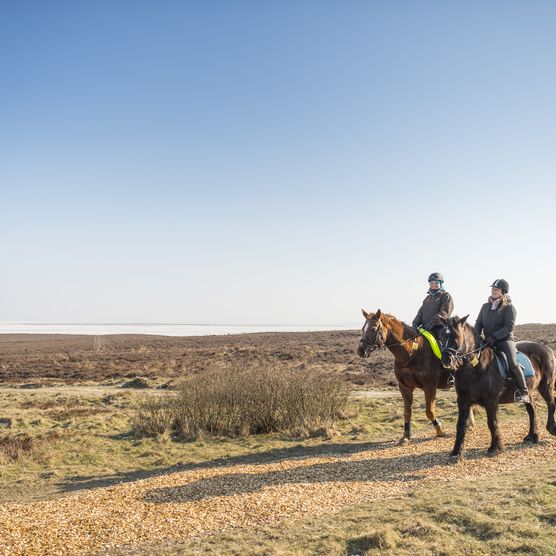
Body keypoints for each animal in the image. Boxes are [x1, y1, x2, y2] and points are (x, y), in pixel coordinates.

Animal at [358, 308, 466, 444]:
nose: (361, 351)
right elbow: (407, 412)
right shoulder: (405, 387)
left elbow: (429, 411)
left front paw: (440, 430)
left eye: (373, 329)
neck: (412, 353)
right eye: (363, 328)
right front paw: (406, 435)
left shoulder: (429, 387)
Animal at [438, 314, 556, 462]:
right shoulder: (463, 401)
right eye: (442, 336)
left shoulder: (491, 401)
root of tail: (547, 349)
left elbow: (492, 423)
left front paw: (495, 448)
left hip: (546, 386)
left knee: (551, 404)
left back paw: (551, 428)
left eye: (457, 336)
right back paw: (532, 436)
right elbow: (460, 425)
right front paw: (456, 452)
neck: (476, 367)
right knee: (532, 410)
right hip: (527, 392)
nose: (446, 360)